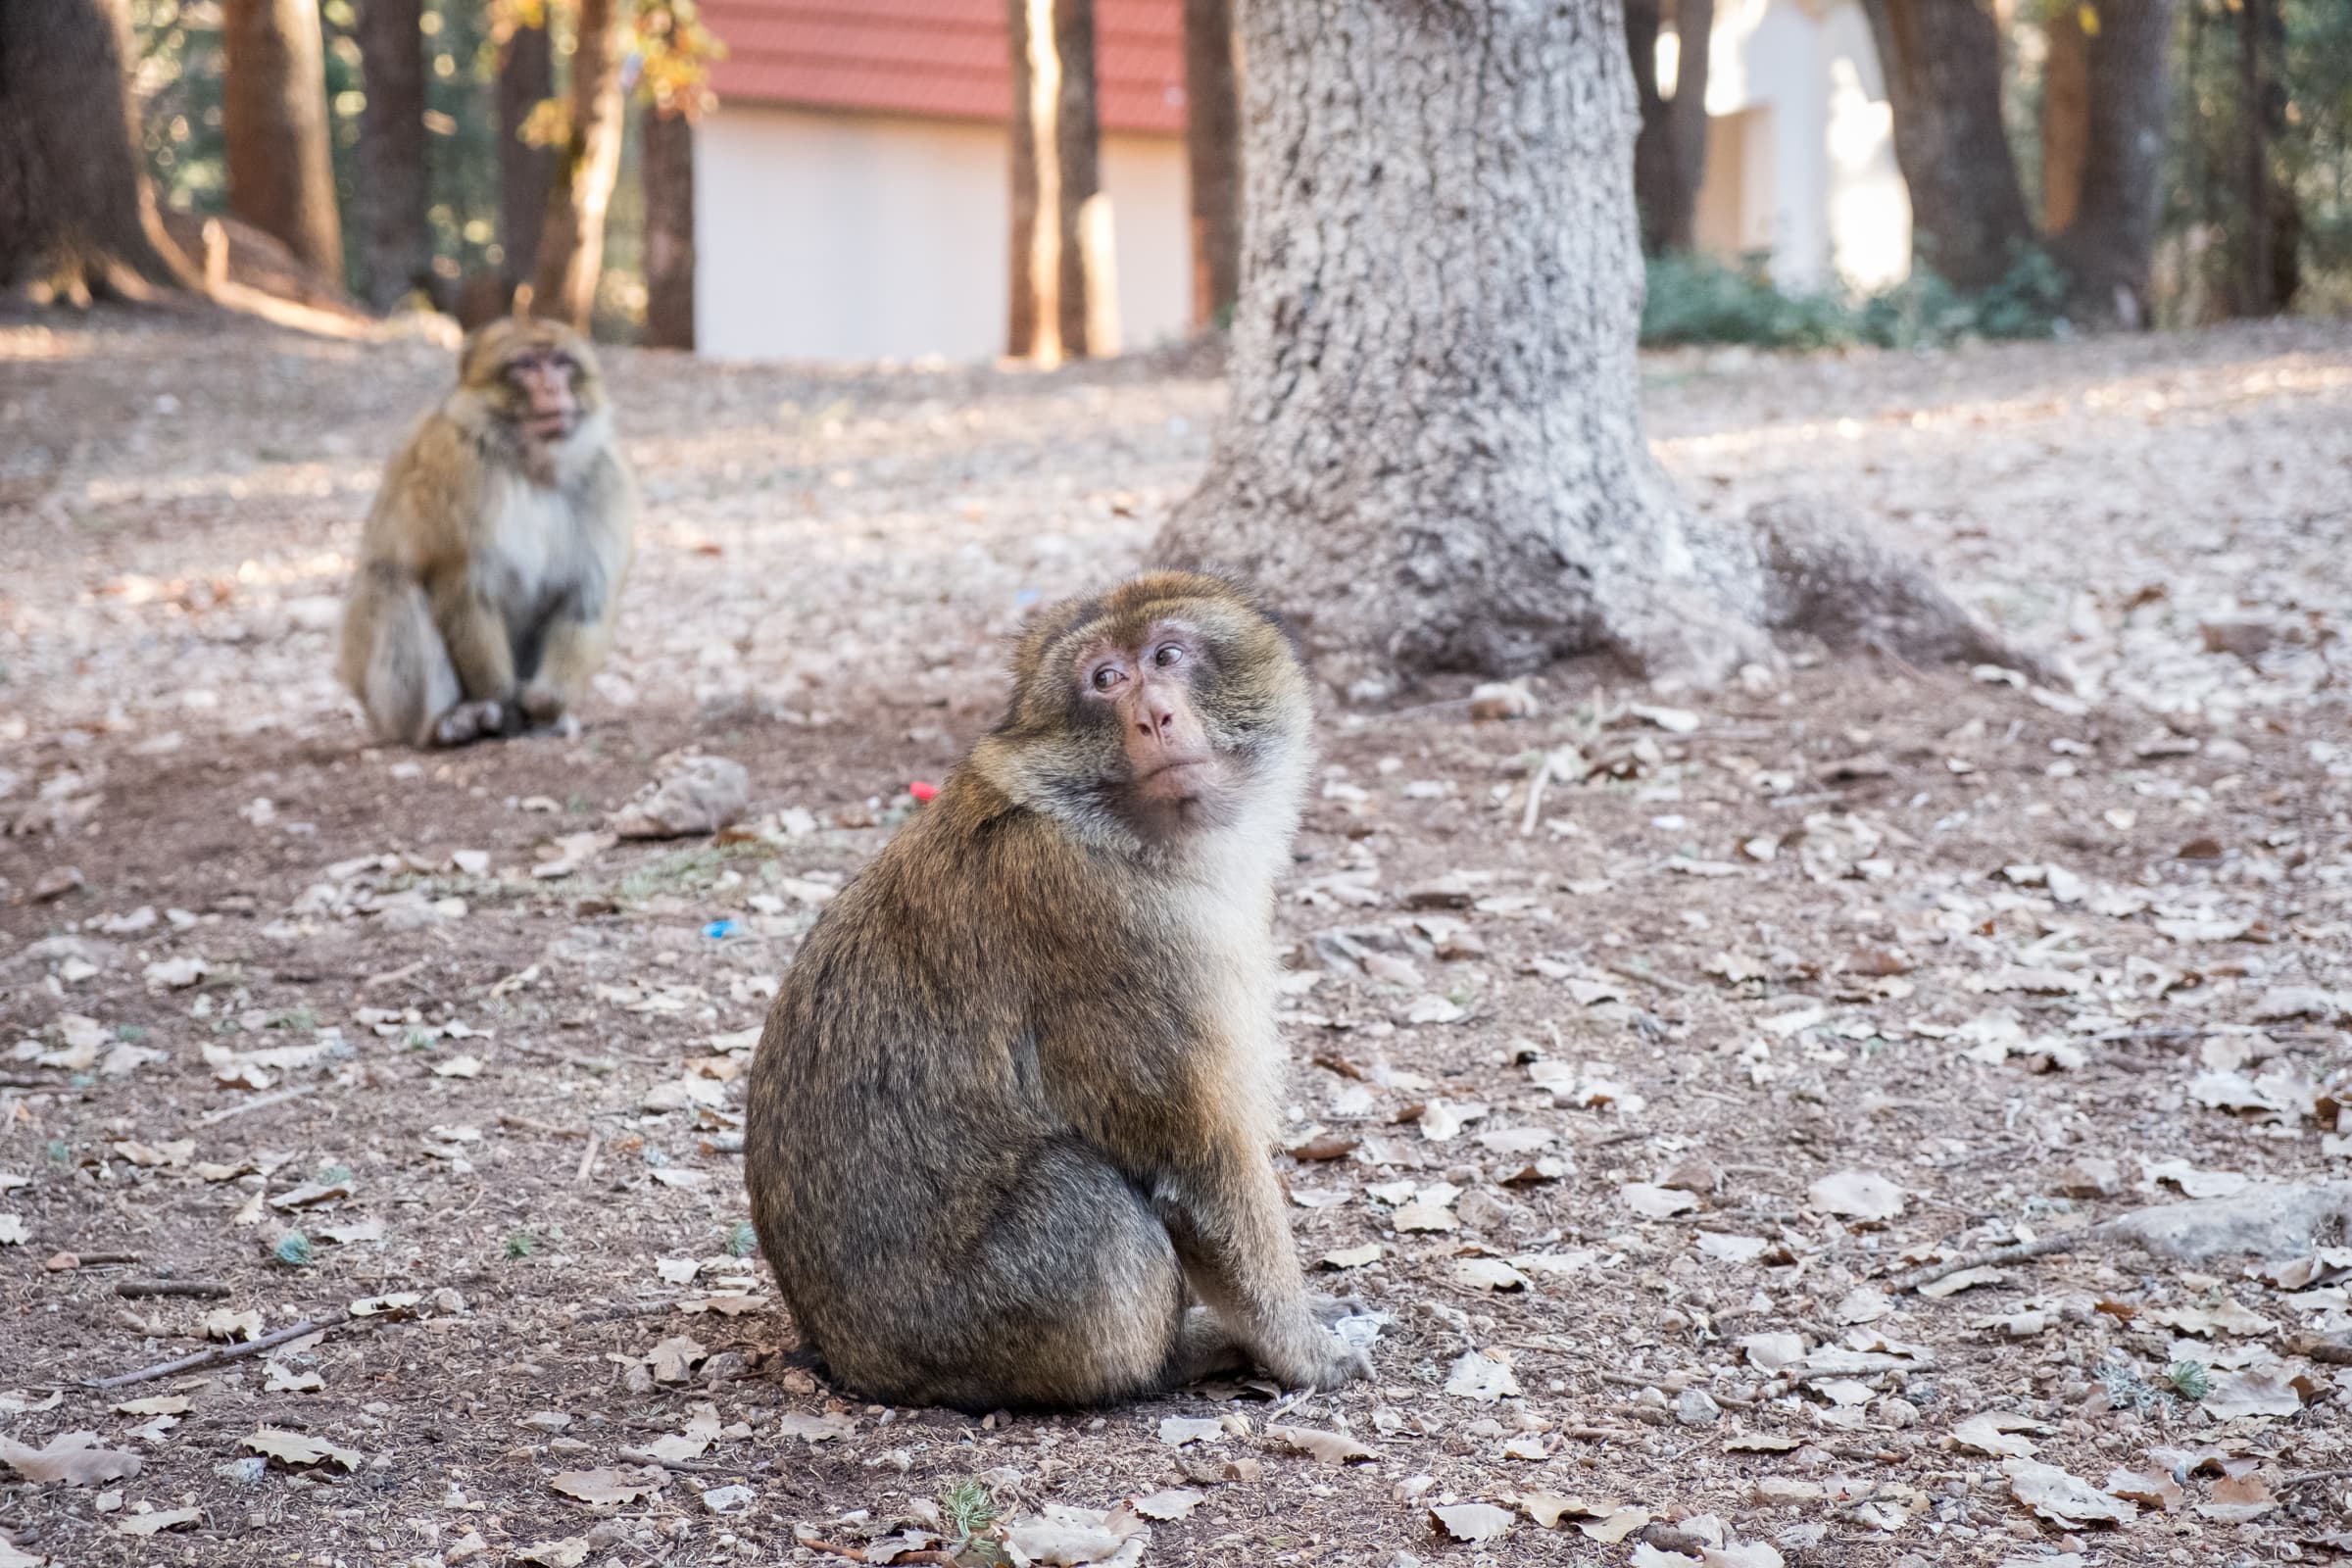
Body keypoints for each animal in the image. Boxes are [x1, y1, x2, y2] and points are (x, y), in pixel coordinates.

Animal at [338, 319, 635, 747]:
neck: (529, 464)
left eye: (562, 362)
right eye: (526, 365)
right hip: (382, 703)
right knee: (391, 585)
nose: (552, 388)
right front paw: (505, 704)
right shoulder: (456, 466)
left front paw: (547, 702)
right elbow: (461, 584)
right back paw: (446, 723)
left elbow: (583, 596)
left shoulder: (605, 480)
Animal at [748, 570, 1373, 1400]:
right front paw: (1299, 1349)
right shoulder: (1118, 934)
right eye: (1104, 679)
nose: (1153, 714)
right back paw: (1177, 1359)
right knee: (1086, 1198)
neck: (1114, 832)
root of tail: (844, 1355)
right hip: (974, 1319)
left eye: (1166, 656)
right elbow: (1199, 1165)